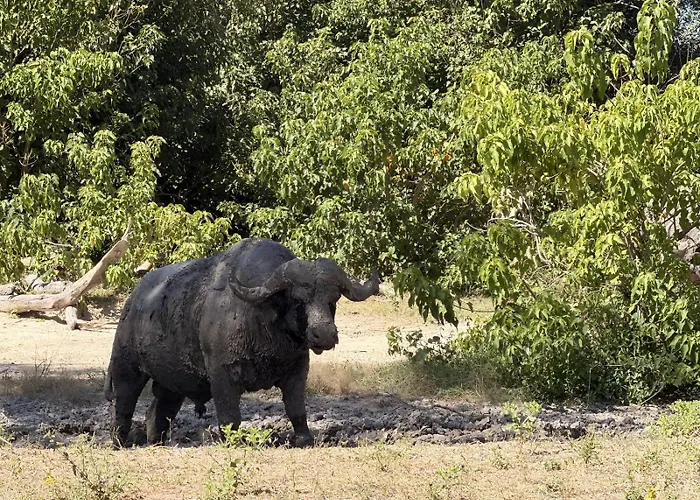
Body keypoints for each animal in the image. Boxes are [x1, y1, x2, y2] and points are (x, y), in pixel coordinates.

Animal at [105, 238, 379, 447]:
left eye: (333, 299)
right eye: (298, 299)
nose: (324, 334)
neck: (260, 318)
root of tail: (133, 301)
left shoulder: (297, 370)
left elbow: (296, 408)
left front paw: (304, 438)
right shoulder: (221, 375)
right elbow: (230, 416)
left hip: (172, 383)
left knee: (157, 410)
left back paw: (157, 441)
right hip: (126, 367)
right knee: (124, 406)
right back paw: (119, 441)